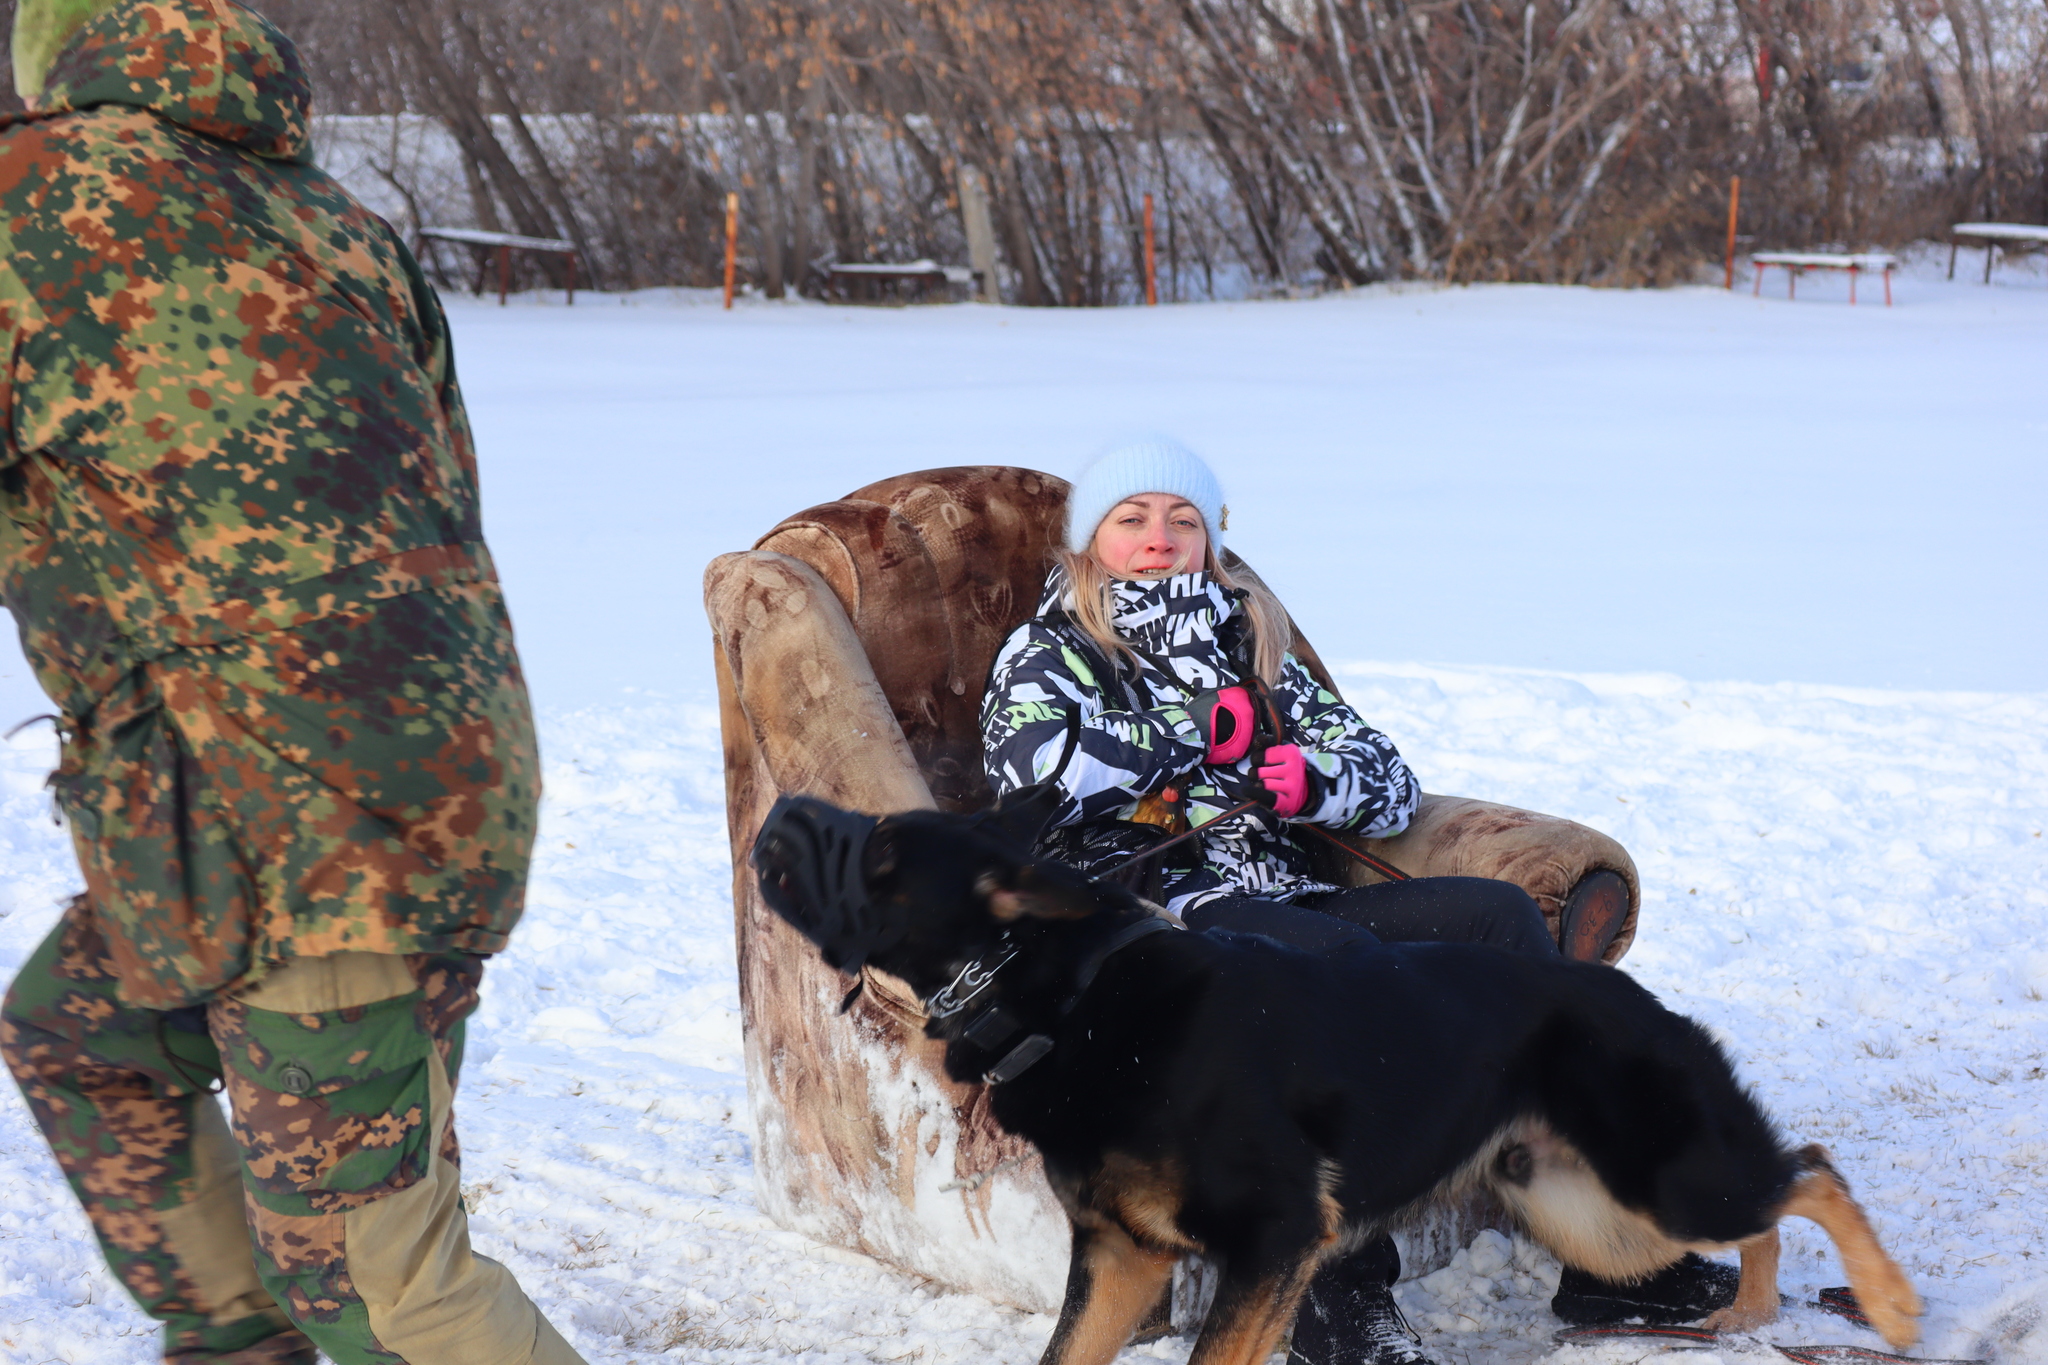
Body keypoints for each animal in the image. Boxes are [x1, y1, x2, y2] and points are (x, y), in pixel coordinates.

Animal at [753, 785, 1916, 1365]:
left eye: (880, 858)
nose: (780, 814)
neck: (1066, 999)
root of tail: (1625, 990)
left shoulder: (1271, 1242)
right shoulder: (1124, 1258)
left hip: (1654, 1185)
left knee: (1811, 1170)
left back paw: (1891, 1309)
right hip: (1596, 1211)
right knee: (1770, 1204)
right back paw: (1746, 1316)